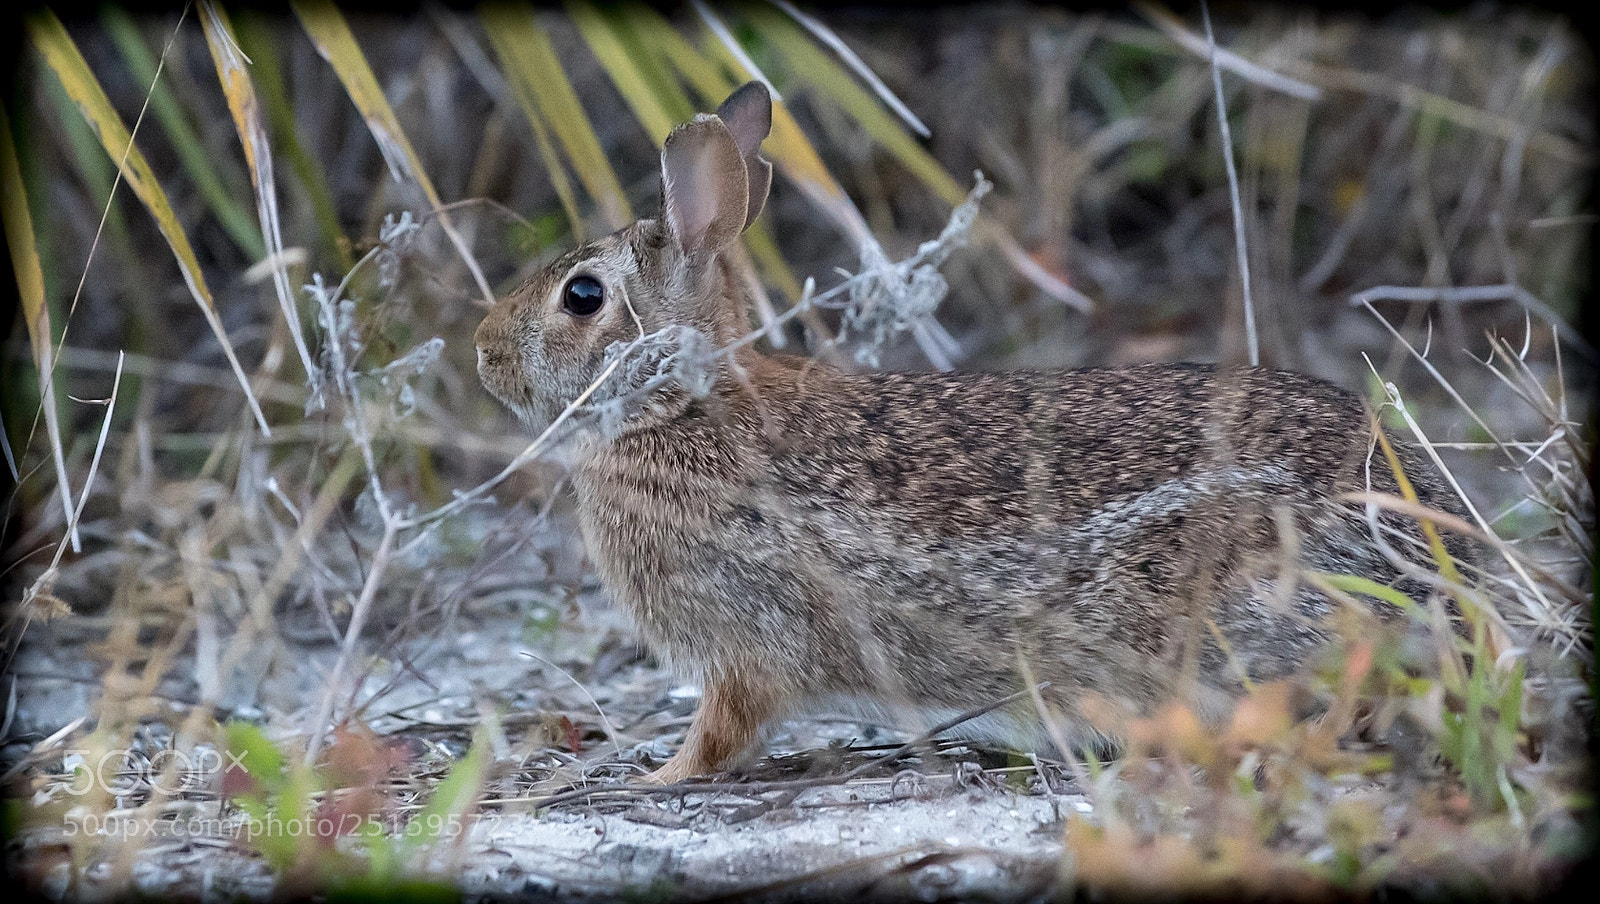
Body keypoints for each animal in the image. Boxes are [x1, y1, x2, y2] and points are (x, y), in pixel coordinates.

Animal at [475, 82, 1470, 784]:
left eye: (582, 297)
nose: (485, 353)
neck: (678, 405)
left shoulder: (744, 645)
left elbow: (721, 733)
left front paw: (652, 777)